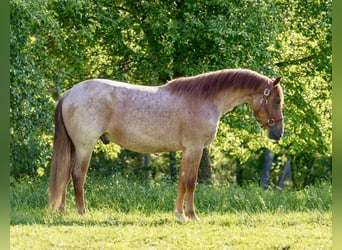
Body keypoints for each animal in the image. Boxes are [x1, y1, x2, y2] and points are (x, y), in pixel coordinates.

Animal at [47, 68, 284, 221]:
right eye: (276, 100)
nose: (278, 132)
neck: (206, 99)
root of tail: (69, 93)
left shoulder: (187, 150)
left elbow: (181, 181)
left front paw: (179, 214)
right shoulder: (195, 148)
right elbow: (190, 182)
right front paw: (191, 215)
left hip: (75, 147)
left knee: (65, 175)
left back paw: (62, 210)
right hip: (85, 146)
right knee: (78, 175)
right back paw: (81, 211)